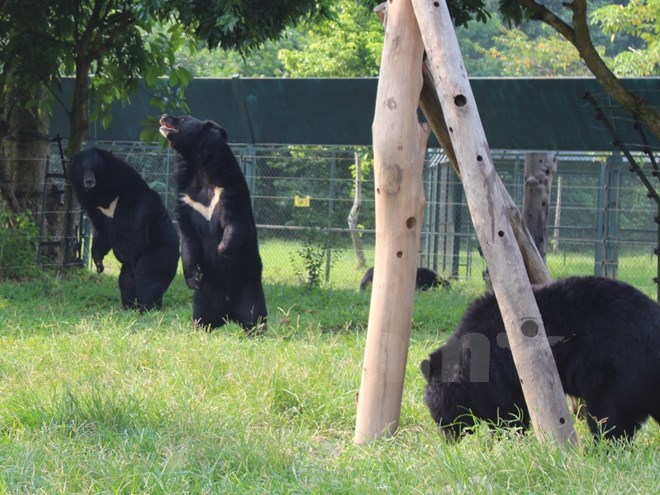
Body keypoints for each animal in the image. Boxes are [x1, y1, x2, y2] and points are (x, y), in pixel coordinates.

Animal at [69, 147, 180, 312]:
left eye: (95, 169)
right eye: (83, 170)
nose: (88, 182)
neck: (104, 195)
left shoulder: (136, 198)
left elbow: (138, 228)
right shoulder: (95, 209)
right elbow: (102, 235)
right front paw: (99, 265)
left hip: (162, 251)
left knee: (147, 278)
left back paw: (148, 308)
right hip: (129, 268)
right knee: (126, 282)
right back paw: (130, 306)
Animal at [159, 114, 266, 336]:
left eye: (182, 118)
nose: (164, 116)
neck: (199, 168)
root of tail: (229, 314)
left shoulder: (229, 189)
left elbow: (236, 223)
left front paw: (222, 248)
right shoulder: (186, 199)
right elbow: (188, 237)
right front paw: (193, 278)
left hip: (249, 287)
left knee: (254, 316)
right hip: (206, 295)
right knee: (202, 317)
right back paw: (200, 329)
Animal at [420, 278, 660, 444]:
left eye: (438, 414)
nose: (448, 441)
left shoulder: (497, 368)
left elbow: (506, 411)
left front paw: (506, 440)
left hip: (618, 370)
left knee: (609, 416)